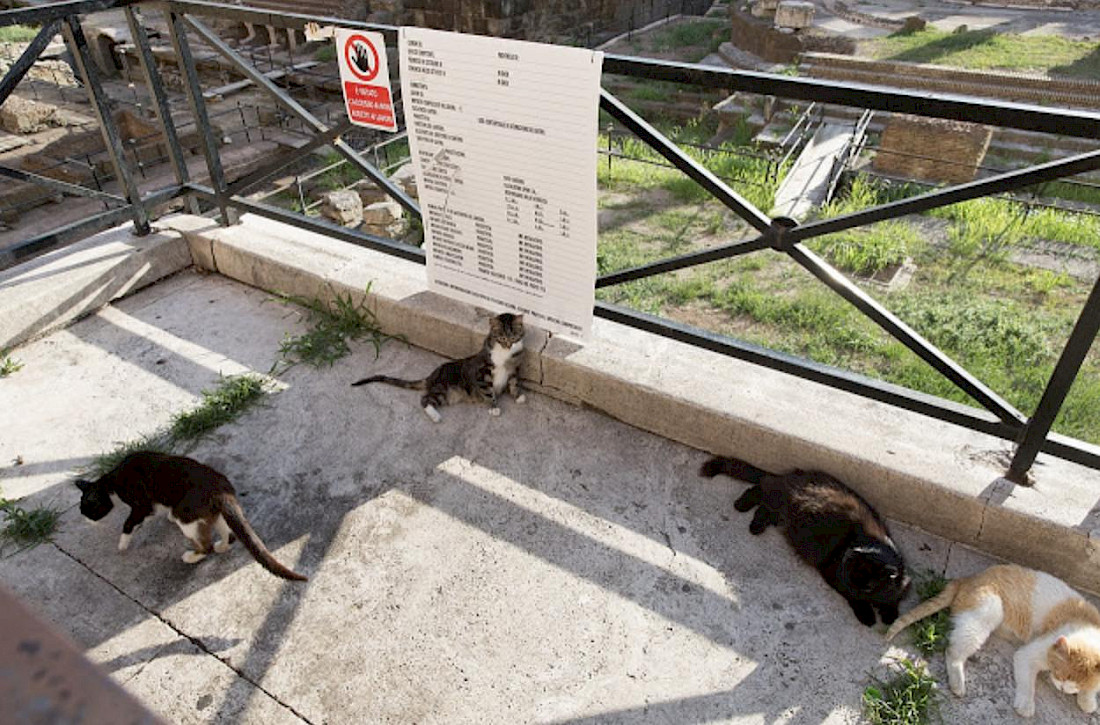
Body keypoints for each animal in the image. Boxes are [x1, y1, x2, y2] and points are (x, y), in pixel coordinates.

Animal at [75, 451, 305, 580]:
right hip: (210, 513)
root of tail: (221, 488)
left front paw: (122, 544)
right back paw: (222, 545)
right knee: (228, 533)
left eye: (88, 511)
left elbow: (128, 523)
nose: (85, 519)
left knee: (206, 546)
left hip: (185, 515)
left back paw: (192, 556)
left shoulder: (142, 506)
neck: (112, 480)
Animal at [349, 312, 525, 424]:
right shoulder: (482, 373)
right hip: (443, 390)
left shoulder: (514, 368)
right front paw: (494, 407)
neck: (505, 356)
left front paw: (518, 396)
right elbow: (488, 391)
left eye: (514, 338)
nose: (509, 346)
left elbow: (514, 382)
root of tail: (431, 376)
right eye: (502, 338)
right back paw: (435, 416)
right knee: (424, 400)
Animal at [699, 457, 906, 624]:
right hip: (780, 499)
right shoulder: (833, 574)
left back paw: (754, 524)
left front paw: (890, 616)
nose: (855, 588)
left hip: (781, 513)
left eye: (869, 586)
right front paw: (867, 615)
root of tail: (791, 476)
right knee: (760, 488)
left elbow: (893, 599)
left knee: (763, 503)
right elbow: (853, 599)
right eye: (852, 578)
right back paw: (742, 506)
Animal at [884, 563, 1100, 717]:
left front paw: (1087, 700)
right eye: (1060, 675)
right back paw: (958, 683)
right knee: (953, 651)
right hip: (987, 611)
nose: (1063, 689)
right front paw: (1026, 705)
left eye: (1077, 684)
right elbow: (1027, 682)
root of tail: (967, 579)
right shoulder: (1029, 653)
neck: (1087, 628)